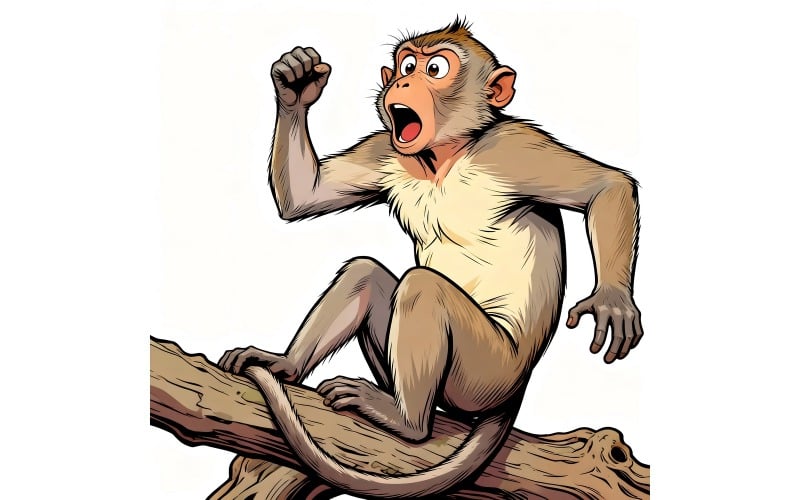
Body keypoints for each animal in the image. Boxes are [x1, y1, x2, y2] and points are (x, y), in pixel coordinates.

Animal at [218, 18, 643, 499]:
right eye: (406, 65)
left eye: (435, 68)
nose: (403, 81)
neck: (446, 156)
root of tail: (516, 389)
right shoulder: (386, 148)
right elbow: (308, 196)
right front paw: (296, 84)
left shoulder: (515, 147)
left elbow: (607, 186)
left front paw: (612, 300)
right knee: (366, 274)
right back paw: (290, 366)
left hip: (487, 374)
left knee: (424, 289)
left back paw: (407, 422)